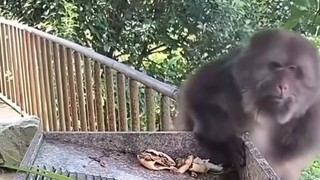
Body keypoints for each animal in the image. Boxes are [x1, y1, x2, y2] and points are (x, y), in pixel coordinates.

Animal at [174, 28, 320, 179]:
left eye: (292, 68)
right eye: (276, 65)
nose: (283, 86)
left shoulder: (313, 108)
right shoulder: (228, 73)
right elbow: (197, 96)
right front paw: (230, 140)